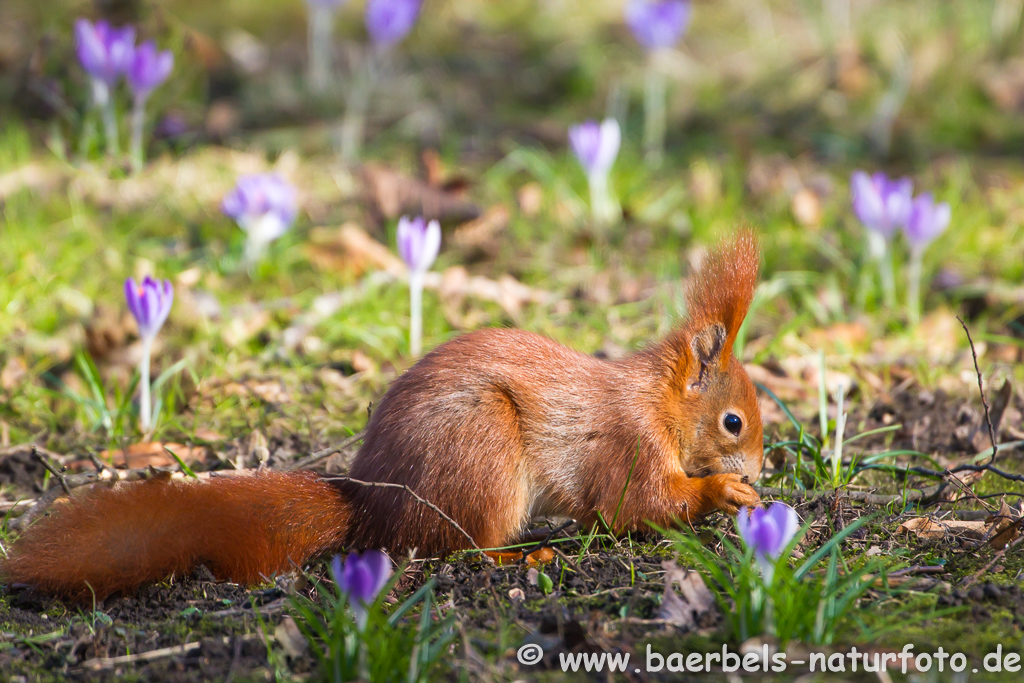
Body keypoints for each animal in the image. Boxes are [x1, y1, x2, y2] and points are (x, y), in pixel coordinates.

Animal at [4, 233, 765, 598]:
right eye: (733, 421)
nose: (761, 467)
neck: (658, 401)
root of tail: (374, 504)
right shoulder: (626, 442)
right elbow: (636, 504)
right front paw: (723, 490)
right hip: (482, 451)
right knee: (455, 546)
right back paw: (525, 552)